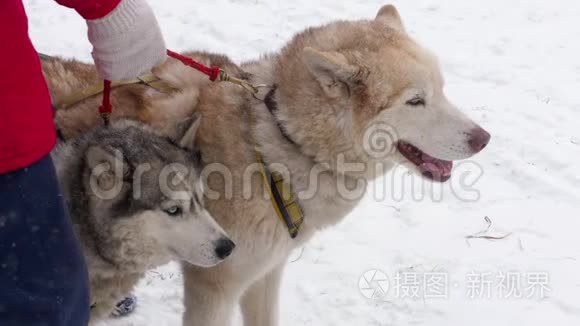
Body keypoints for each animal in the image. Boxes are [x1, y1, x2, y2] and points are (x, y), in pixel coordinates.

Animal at [43, 5, 492, 326]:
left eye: (442, 90)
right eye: (415, 101)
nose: (483, 138)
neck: (273, 144)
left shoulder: (265, 275)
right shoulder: (215, 287)